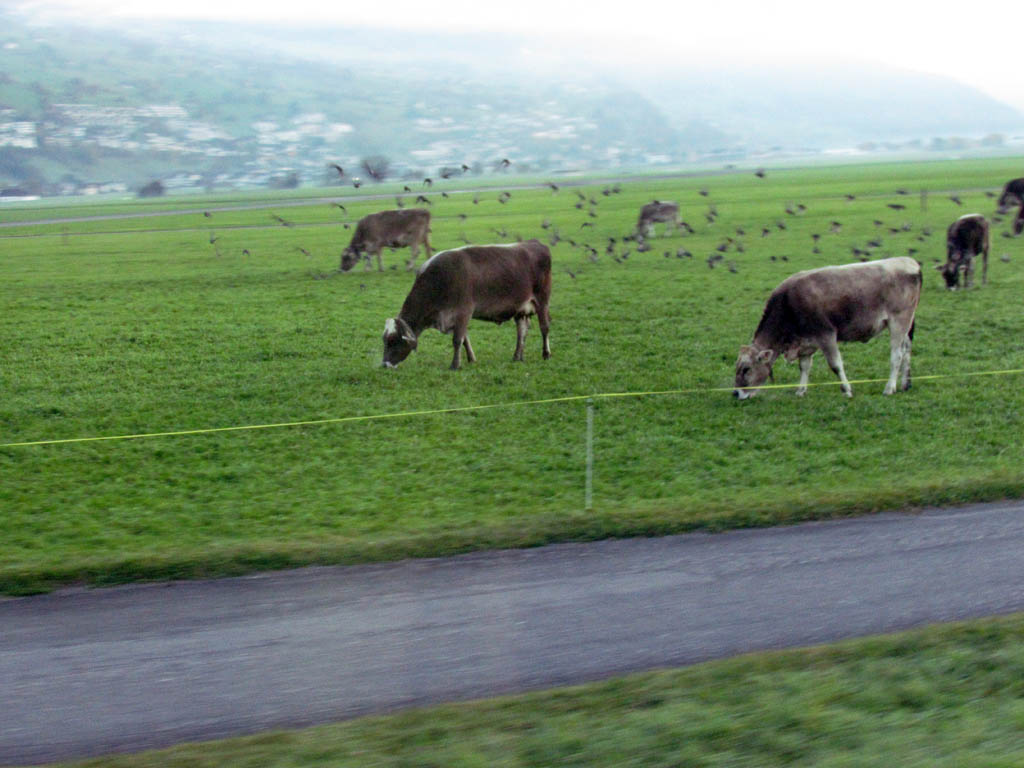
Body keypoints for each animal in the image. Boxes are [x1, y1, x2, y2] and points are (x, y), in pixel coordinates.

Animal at [380, 241, 552, 370]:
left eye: (393, 341)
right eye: (384, 341)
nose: (384, 364)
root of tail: (534, 243)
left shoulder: (463, 311)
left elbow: (457, 340)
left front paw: (455, 365)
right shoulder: (457, 317)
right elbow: (464, 339)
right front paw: (471, 359)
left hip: (542, 301)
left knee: (544, 327)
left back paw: (546, 354)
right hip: (520, 310)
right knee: (521, 331)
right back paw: (517, 356)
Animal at [733, 259, 925, 403]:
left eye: (746, 369)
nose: (735, 393)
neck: (788, 303)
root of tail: (910, 262)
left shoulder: (826, 335)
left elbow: (835, 365)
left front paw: (846, 389)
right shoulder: (806, 342)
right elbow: (804, 367)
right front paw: (801, 390)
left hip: (898, 321)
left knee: (897, 355)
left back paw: (889, 387)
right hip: (906, 324)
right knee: (907, 350)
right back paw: (905, 384)